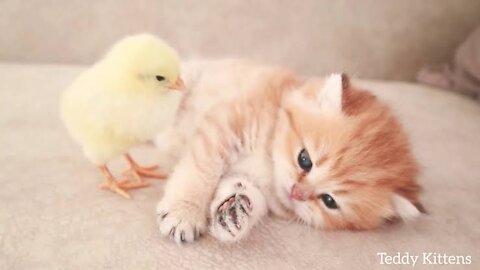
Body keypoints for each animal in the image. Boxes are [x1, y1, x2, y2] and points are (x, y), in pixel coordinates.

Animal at [156, 59, 422, 245]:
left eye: (329, 201)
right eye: (304, 160)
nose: (297, 193)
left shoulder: (247, 178)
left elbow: (244, 191)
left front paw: (233, 213)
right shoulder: (224, 127)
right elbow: (201, 172)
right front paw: (184, 213)